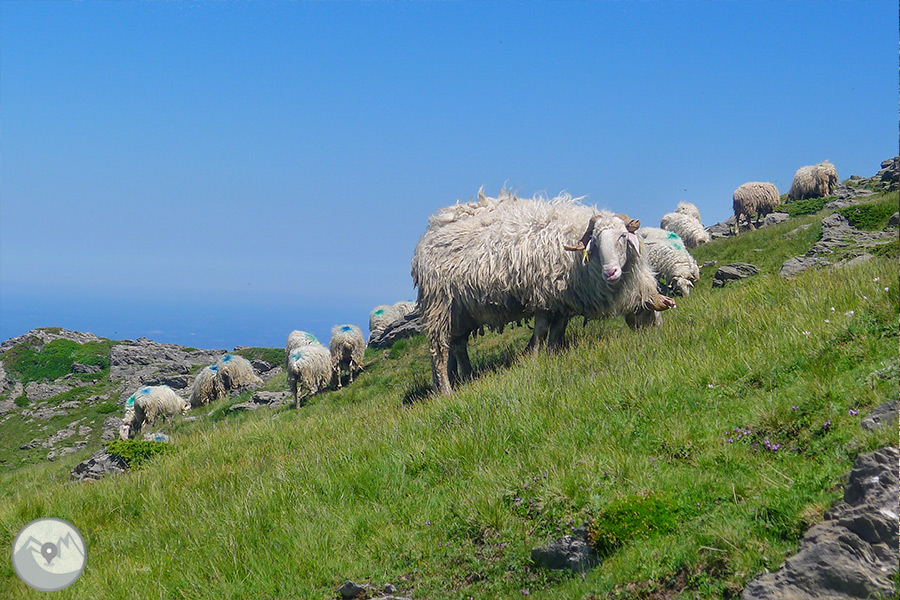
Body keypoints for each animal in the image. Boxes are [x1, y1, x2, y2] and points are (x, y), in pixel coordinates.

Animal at [411, 189, 674, 396]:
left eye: (622, 237)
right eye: (597, 241)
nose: (610, 272)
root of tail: (427, 236)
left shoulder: (562, 301)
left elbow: (557, 330)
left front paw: (552, 353)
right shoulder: (543, 296)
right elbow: (540, 331)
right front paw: (536, 357)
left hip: (462, 311)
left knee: (457, 346)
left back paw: (462, 378)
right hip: (440, 305)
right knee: (439, 352)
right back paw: (446, 391)